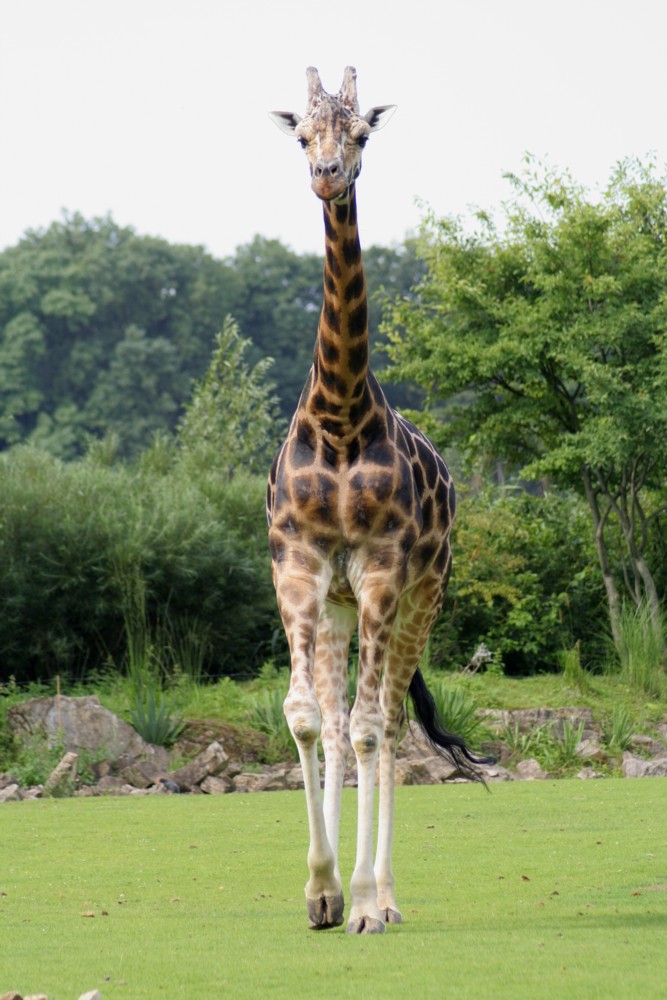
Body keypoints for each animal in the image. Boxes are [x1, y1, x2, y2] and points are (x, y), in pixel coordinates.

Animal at [266, 66, 490, 932]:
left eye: (361, 132)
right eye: (302, 135)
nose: (329, 176)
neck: (338, 417)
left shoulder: (383, 569)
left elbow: (368, 729)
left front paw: (361, 902)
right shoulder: (299, 567)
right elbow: (307, 719)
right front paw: (320, 891)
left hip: (423, 594)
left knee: (389, 724)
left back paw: (386, 897)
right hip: (336, 606)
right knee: (337, 723)